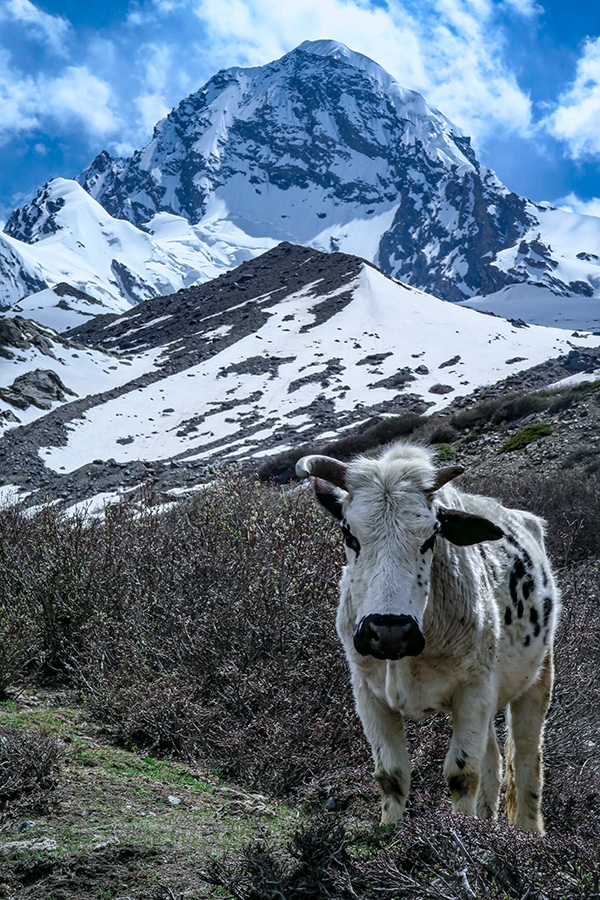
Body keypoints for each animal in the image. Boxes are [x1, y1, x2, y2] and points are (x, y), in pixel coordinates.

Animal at [298, 446, 560, 832]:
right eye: (349, 535)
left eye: (430, 537)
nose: (389, 631)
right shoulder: (367, 694)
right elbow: (391, 775)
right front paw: (389, 833)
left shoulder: (473, 690)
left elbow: (461, 773)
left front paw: (462, 833)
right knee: (494, 760)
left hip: (537, 678)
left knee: (526, 759)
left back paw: (527, 833)